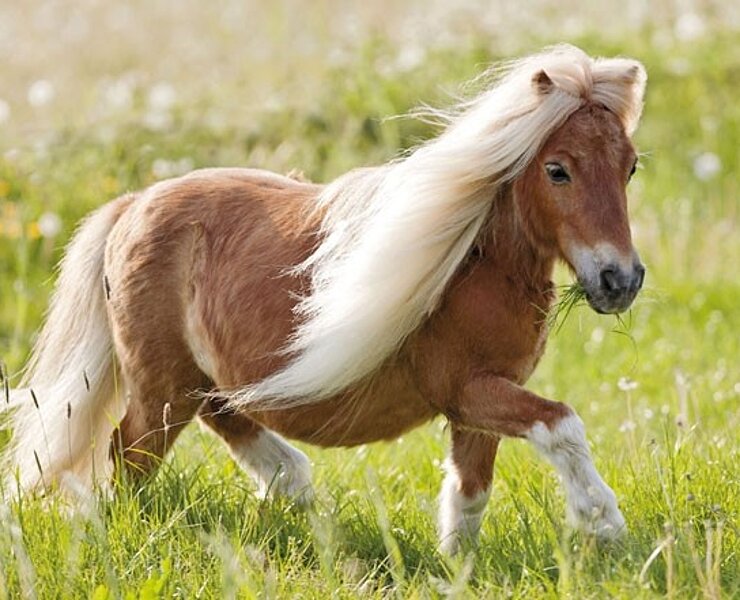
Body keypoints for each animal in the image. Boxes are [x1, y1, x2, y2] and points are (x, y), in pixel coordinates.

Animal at [2, 45, 647, 554]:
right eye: (557, 170)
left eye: (631, 167)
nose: (621, 280)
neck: (473, 264)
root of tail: (131, 205)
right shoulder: (468, 390)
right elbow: (561, 425)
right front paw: (606, 525)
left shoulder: (478, 405)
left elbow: (469, 496)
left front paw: (455, 568)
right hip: (159, 389)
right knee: (127, 459)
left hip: (200, 382)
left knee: (231, 427)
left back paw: (299, 496)